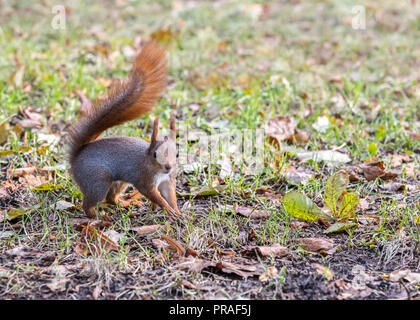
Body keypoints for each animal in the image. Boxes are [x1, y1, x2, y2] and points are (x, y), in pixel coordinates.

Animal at [67, 41, 182, 220]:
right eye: (155, 154)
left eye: (177, 154)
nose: (168, 167)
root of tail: (75, 158)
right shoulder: (144, 180)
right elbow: (155, 195)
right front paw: (167, 209)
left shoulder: (168, 180)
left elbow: (171, 196)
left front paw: (178, 211)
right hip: (97, 182)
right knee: (88, 204)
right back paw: (100, 217)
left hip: (120, 182)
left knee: (111, 198)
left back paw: (124, 203)